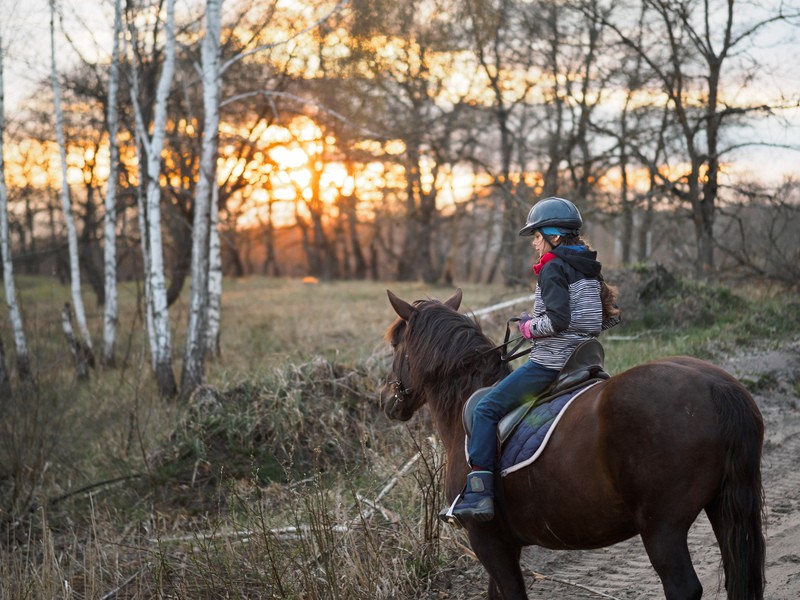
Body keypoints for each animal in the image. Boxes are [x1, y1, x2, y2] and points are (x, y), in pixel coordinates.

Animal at [382, 288, 768, 600]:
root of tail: (716, 385)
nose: (386, 399)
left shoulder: (488, 542)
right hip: (723, 509)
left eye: (395, 346)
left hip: (662, 528)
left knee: (683, 587)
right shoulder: (503, 545)